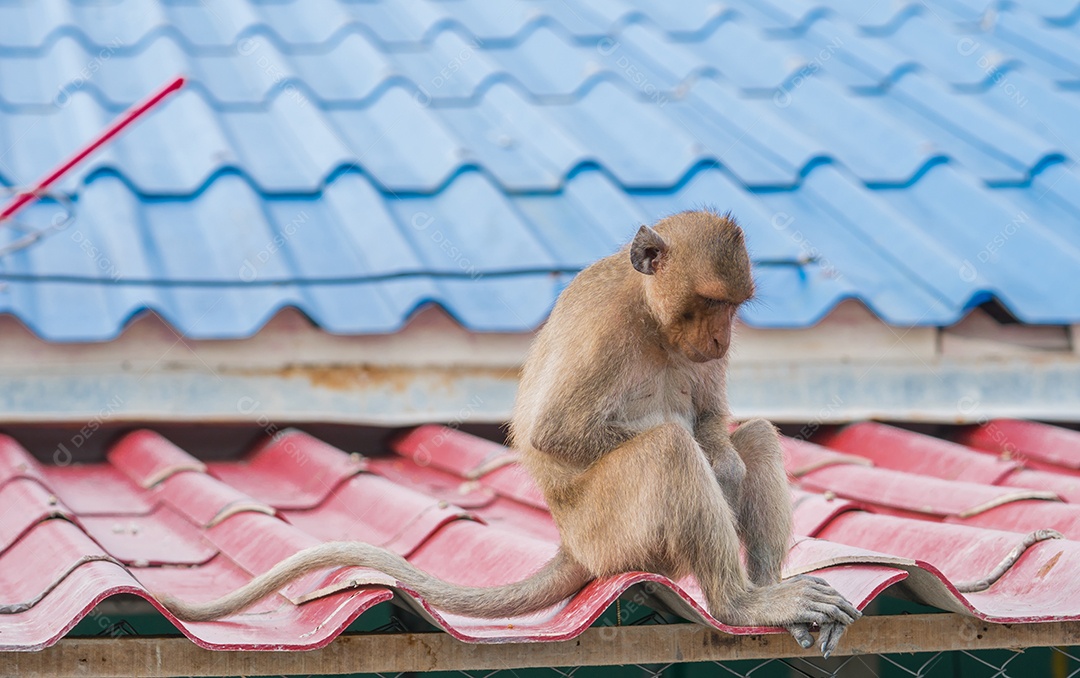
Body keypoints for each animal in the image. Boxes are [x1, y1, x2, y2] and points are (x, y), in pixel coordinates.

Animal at [155, 210, 859, 657]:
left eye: (733, 309)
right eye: (711, 303)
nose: (721, 341)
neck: (651, 315)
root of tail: (573, 547)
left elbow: (713, 417)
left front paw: (724, 453)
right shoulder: (608, 329)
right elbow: (553, 435)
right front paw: (711, 462)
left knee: (755, 436)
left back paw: (766, 586)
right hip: (614, 534)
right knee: (666, 449)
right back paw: (743, 601)